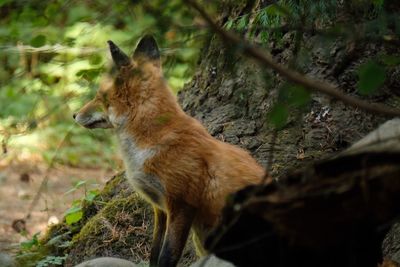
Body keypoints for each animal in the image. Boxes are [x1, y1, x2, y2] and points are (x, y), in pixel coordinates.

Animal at [73, 35, 268, 267]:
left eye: (100, 96)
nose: (74, 115)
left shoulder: (182, 204)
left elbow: (168, 256)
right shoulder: (160, 208)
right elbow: (154, 253)